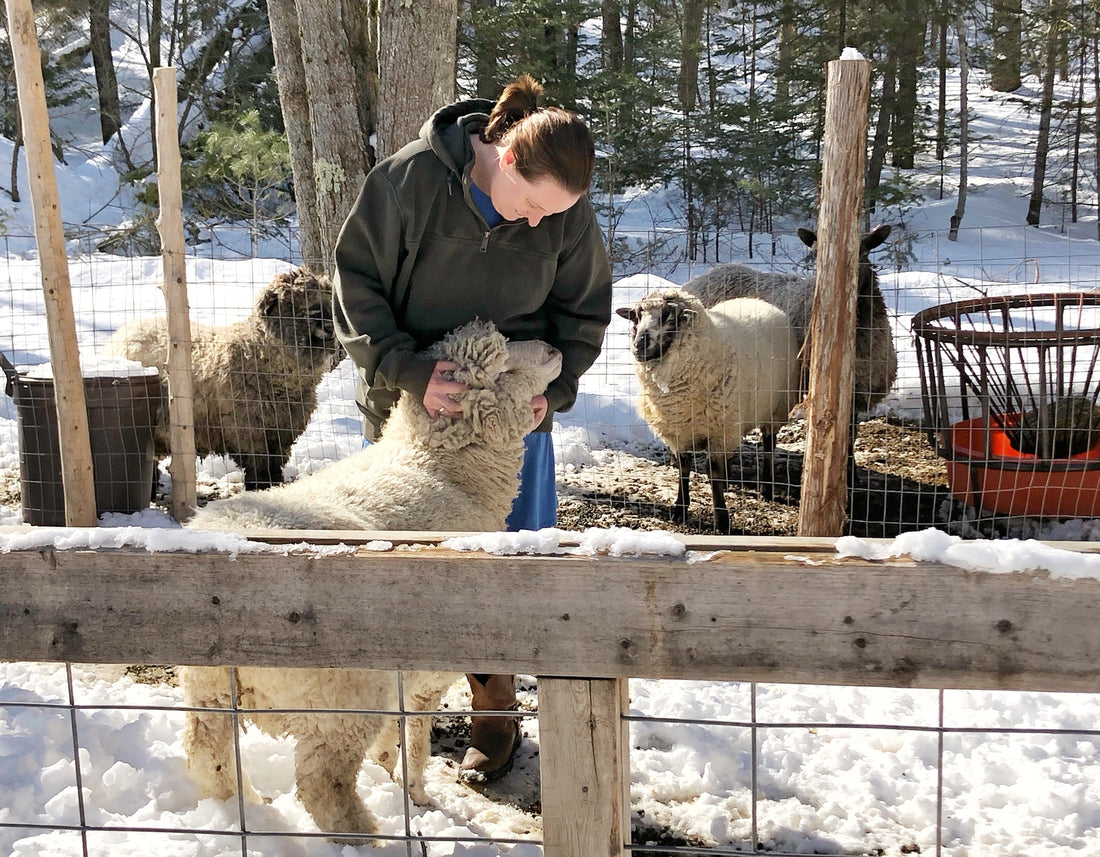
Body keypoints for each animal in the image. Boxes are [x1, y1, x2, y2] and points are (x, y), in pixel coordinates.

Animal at [103, 266, 340, 490]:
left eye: (329, 302)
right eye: (294, 304)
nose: (329, 327)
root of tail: (120, 335)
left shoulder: (280, 433)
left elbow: (274, 466)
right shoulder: (248, 431)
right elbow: (260, 468)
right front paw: (261, 489)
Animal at [180, 319, 563, 843]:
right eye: (502, 366)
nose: (554, 349)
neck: (438, 467)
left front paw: (389, 768)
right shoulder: (425, 673)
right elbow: (415, 736)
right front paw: (415, 792)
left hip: (210, 689)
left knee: (209, 757)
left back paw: (247, 807)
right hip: (343, 699)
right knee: (324, 786)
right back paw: (366, 838)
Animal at [616, 289, 801, 533]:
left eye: (669, 317)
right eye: (636, 317)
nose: (639, 346)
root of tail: (757, 300)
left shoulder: (718, 432)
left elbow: (713, 472)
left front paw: (721, 520)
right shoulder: (679, 431)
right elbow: (683, 468)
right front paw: (680, 509)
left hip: (775, 408)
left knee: (768, 447)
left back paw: (766, 488)